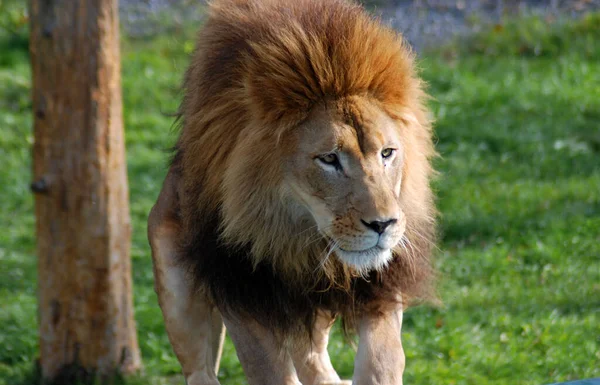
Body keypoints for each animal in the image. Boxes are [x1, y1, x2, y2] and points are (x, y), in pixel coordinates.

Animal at [145, 0, 436, 382]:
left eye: (387, 153)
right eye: (329, 158)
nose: (383, 225)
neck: (295, 236)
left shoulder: (381, 283)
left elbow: (382, 359)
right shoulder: (241, 287)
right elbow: (269, 371)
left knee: (314, 360)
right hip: (180, 298)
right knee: (201, 371)